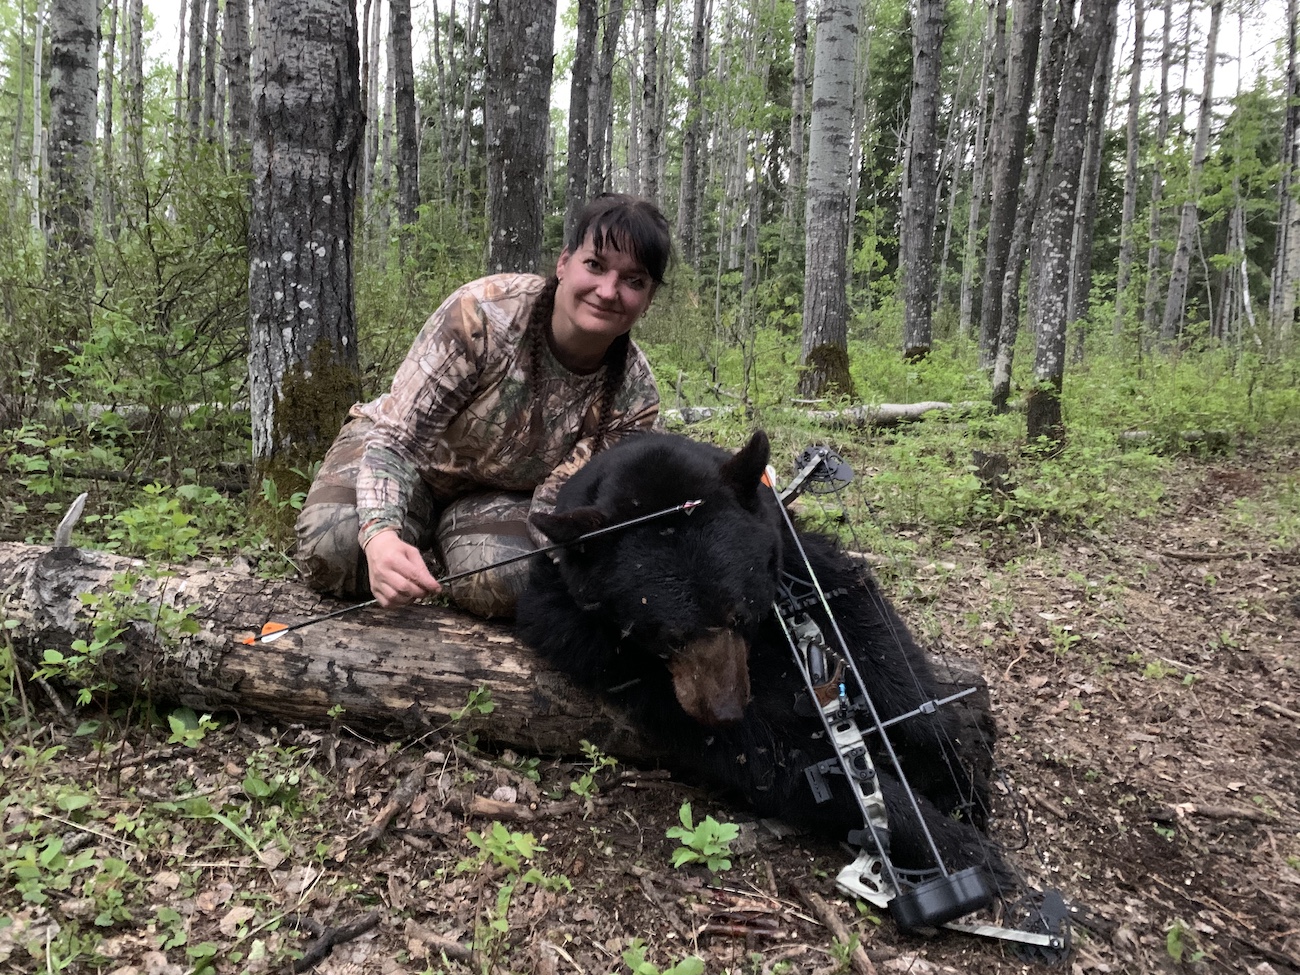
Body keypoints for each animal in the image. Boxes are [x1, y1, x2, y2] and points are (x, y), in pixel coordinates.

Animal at [512, 431, 998, 883]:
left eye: (742, 614)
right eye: (666, 636)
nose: (724, 710)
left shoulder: (788, 550)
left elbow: (864, 620)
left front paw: (954, 775)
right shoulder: (597, 644)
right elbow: (771, 751)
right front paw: (952, 844)